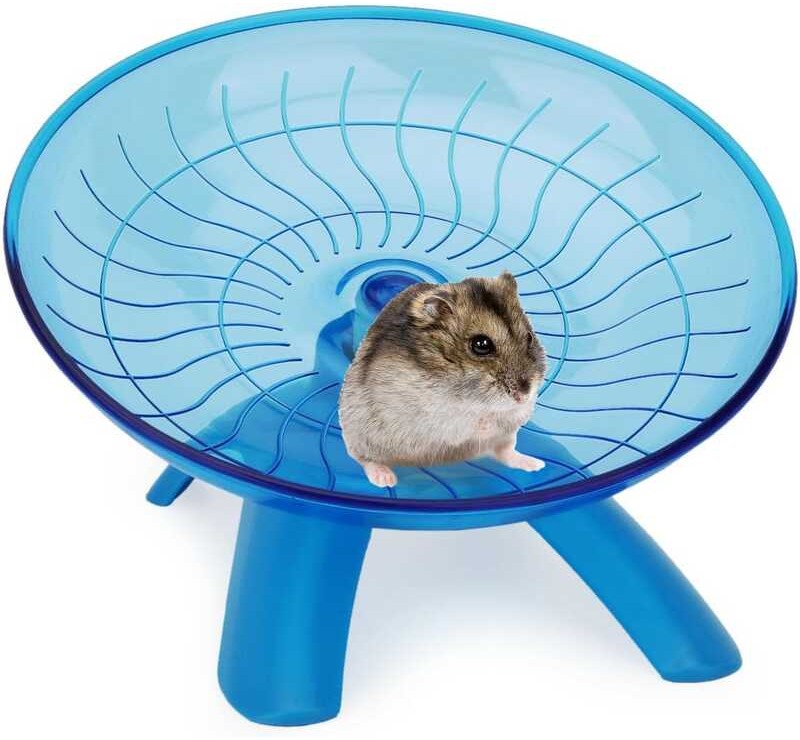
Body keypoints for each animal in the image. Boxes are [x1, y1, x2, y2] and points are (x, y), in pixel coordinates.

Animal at [339, 271, 547, 488]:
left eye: (530, 337)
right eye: (481, 344)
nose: (523, 396)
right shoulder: (431, 413)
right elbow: (465, 419)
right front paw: (485, 421)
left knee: (504, 452)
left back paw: (535, 465)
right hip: (362, 436)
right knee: (364, 459)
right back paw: (385, 479)